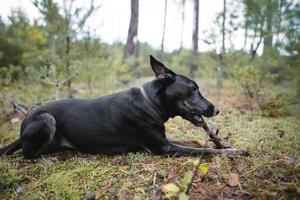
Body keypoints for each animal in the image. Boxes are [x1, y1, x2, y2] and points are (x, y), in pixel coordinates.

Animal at [0, 55, 244, 159]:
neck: (150, 103)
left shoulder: (164, 141)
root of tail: (23, 125)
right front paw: (233, 151)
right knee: (27, 154)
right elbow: (203, 150)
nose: (217, 109)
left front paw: (225, 144)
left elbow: (194, 141)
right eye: (194, 88)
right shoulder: (162, 147)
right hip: (46, 119)